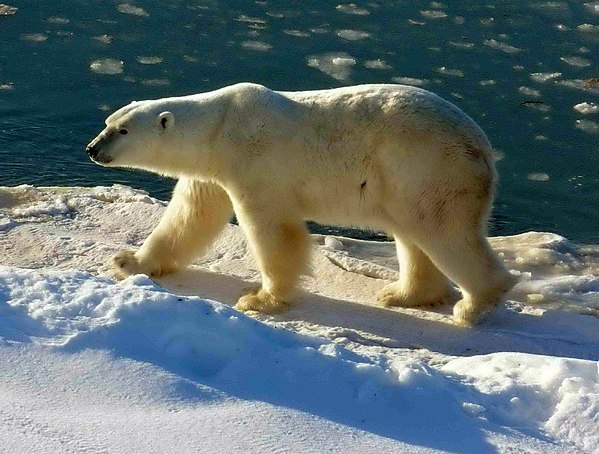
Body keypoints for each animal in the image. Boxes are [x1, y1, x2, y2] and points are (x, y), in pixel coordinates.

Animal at [86, 83, 516, 324]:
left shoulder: (255, 162)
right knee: (413, 235)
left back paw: (474, 306)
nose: (92, 148)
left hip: (429, 168)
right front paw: (129, 262)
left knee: (443, 232)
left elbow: (273, 230)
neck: (220, 125)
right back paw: (403, 294)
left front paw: (260, 299)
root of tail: (484, 148)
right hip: (406, 182)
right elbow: (189, 216)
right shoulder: (212, 172)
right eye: (107, 122)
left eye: (122, 130)